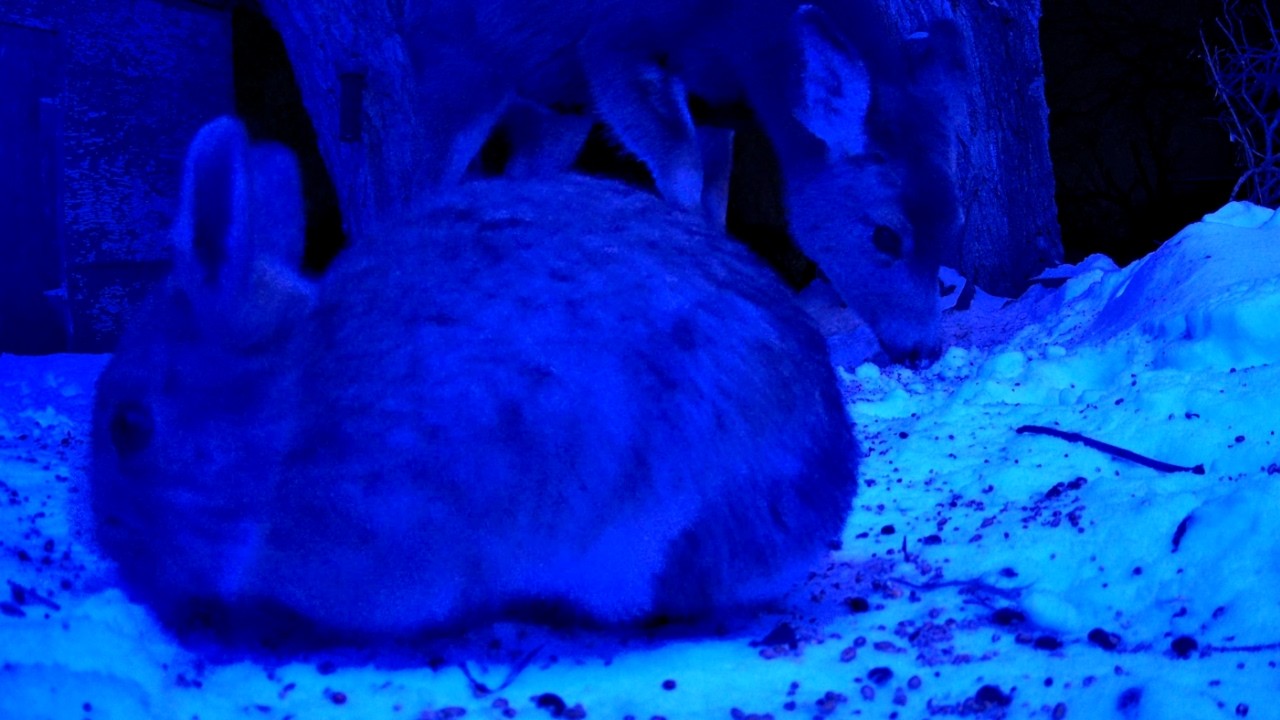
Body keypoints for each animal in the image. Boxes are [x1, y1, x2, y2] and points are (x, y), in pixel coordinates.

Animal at [402, 1, 965, 364]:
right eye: (885, 235)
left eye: (953, 224)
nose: (923, 351)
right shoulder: (614, 49)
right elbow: (681, 174)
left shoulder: (716, 111)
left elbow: (715, 202)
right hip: (457, 70)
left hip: (553, 108)